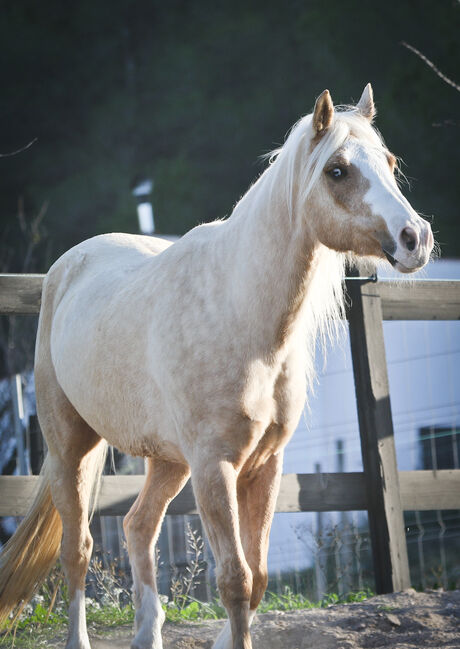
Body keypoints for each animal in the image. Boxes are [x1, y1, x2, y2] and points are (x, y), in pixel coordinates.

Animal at [0, 86, 434, 648]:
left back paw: (148, 634)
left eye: (390, 162)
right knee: (77, 550)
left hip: (167, 461)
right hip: (72, 449)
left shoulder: (266, 465)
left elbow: (259, 578)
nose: (415, 238)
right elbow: (234, 580)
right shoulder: (215, 466)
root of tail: (64, 268)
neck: (241, 312)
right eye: (336, 170)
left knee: (138, 526)